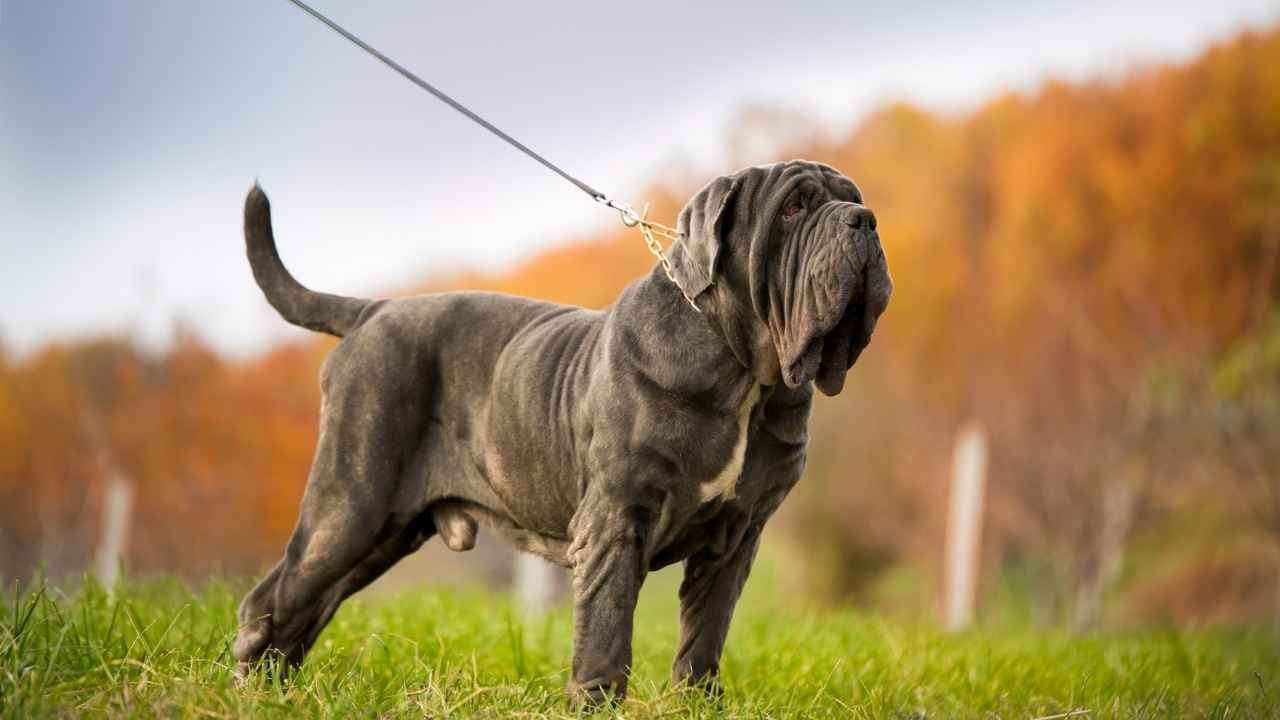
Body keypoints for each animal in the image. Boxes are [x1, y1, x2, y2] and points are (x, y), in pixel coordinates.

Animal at [230, 158, 890, 702]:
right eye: (794, 208)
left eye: (853, 197)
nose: (865, 219)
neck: (746, 374)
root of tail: (374, 309)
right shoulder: (617, 519)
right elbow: (606, 630)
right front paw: (595, 702)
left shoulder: (736, 537)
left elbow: (703, 639)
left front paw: (698, 704)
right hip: (350, 506)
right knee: (270, 602)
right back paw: (248, 690)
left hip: (383, 532)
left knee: (304, 609)